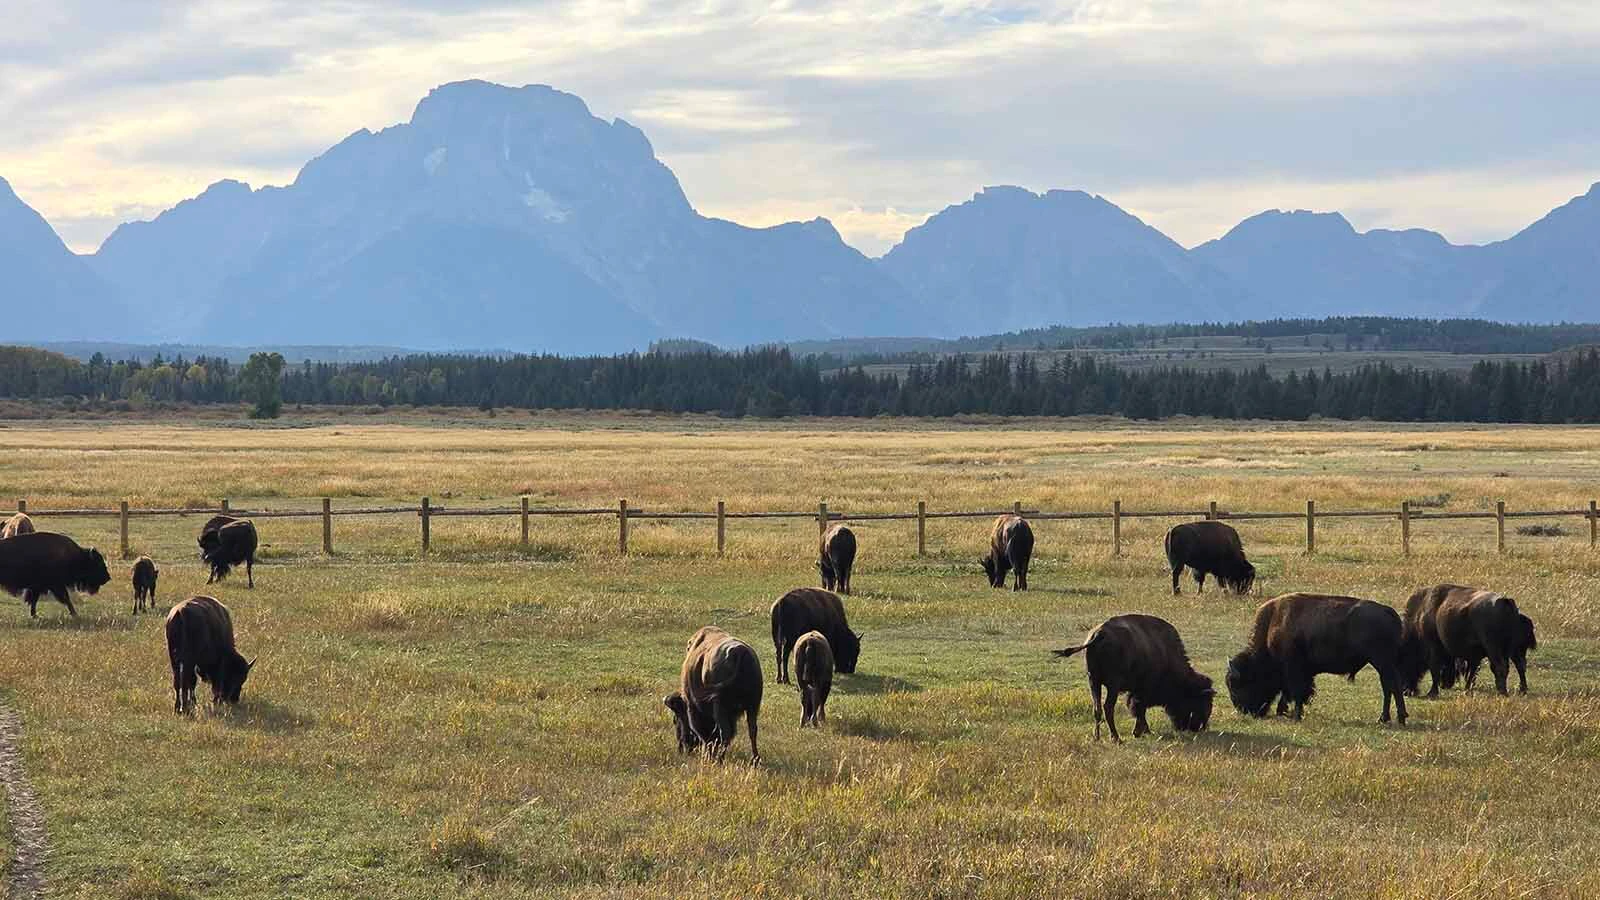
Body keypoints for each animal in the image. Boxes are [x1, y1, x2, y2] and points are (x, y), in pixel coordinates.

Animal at [662, 625, 762, 763]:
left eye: (676, 719)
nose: (682, 748)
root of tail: (740, 653)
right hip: (753, 706)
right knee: (752, 730)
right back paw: (755, 759)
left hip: (722, 707)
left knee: (725, 732)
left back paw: (719, 759)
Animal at [1053, 614, 1213, 741]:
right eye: (1202, 702)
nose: (1200, 728)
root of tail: (1098, 635)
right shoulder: (1142, 690)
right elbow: (1139, 709)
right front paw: (1140, 732)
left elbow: (1137, 709)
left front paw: (1143, 731)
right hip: (1112, 685)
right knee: (1108, 707)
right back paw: (1116, 738)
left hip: (1093, 681)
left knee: (1097, 708)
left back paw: (1096, 737)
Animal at [1227, 592, 1408, 725]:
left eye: (1238, 685)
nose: (1244, 711)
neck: (1273, 622)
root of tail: (1388, 612)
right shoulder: (1300, 672)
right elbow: (1291, 691)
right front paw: (1284, 711)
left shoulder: (1294, 669)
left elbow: (1297, 691)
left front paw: (1295, 715)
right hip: (1383, 663)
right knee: (1388, 686)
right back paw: (1386, 718)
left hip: (1381, 661)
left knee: (1392, 685)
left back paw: (1397, 718)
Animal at [1400, 584, 1534, 697]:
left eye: (1405, 660)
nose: (1406, 691)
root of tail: (1505, 601)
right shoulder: (1474, 655)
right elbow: (1472, 671)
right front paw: (1467, 688)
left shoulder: (1434, 647)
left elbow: (1435, 669)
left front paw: (1432, 693)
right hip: (1514, 650)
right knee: (1520, 665)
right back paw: (1521, 690)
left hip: (1494, 648)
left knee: (1501, 666)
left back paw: (1502, 691)